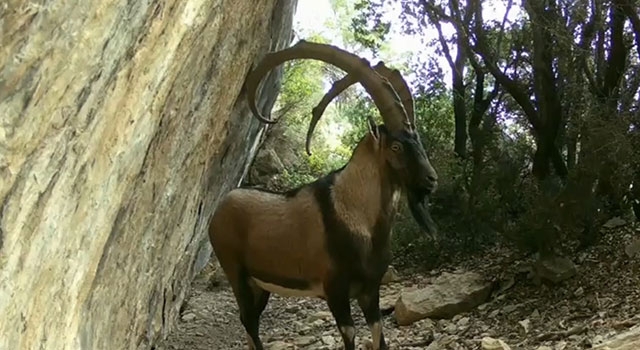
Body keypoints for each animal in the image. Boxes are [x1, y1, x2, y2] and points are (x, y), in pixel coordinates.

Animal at [210, 39, 440, 350]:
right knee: (248, 320)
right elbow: (350, 336)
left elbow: (379, 334)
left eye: (418, 140)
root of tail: (218, 211)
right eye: (396, 146)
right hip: (236, 273)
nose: (432, 180)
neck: (355, 214)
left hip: (260, 285)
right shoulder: (335, 291)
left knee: (250, 321)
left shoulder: (370, 290)